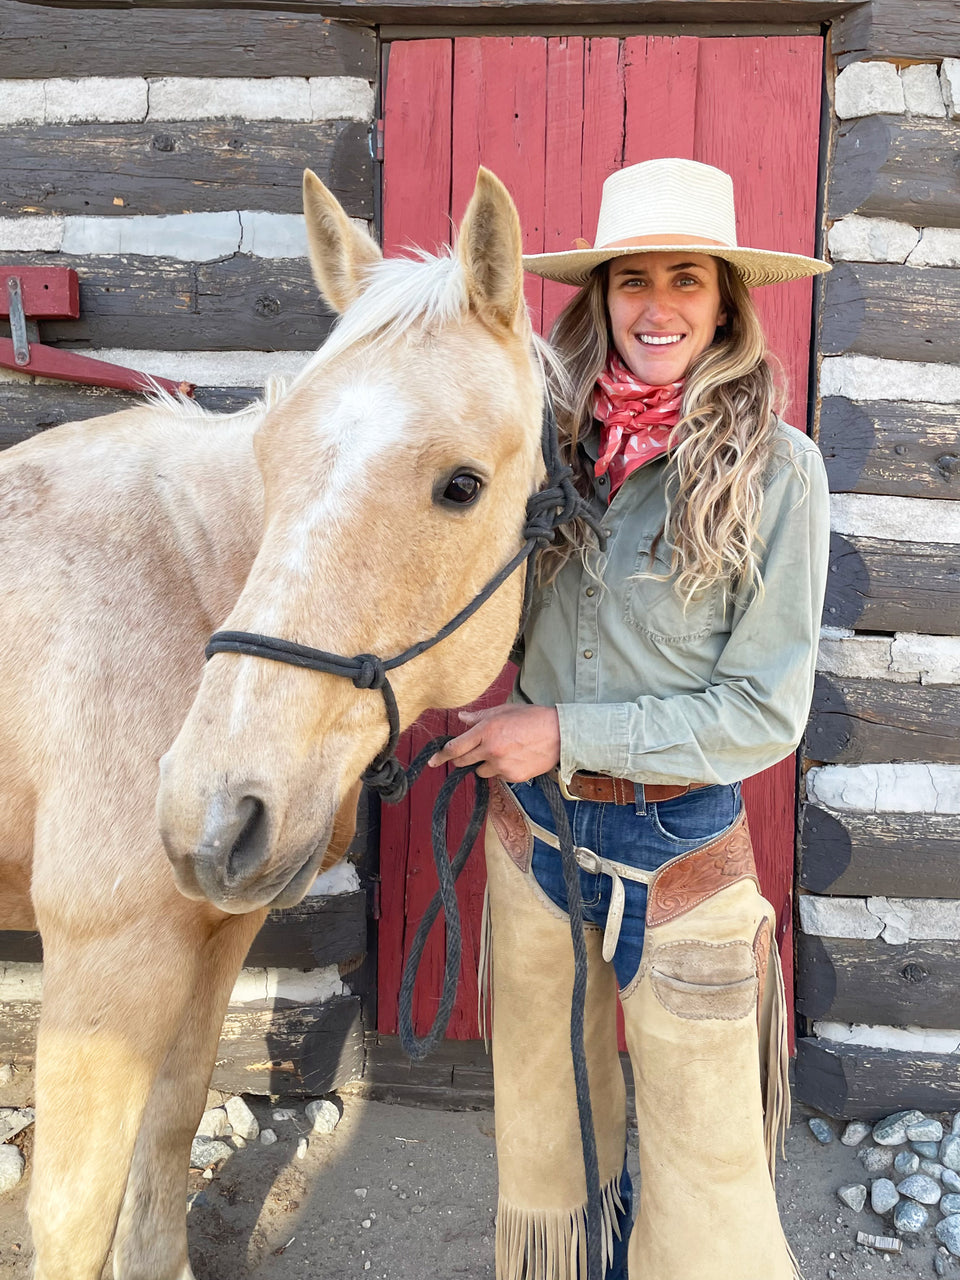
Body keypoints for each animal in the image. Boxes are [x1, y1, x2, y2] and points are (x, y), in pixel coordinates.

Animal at [0, 170, 547, 1280]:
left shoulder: (211, 940)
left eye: (461, 484)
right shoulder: (104, 964)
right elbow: (72, 1219)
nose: (209, 813)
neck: (183, 578)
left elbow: (167, 1142)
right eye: (271, 456)